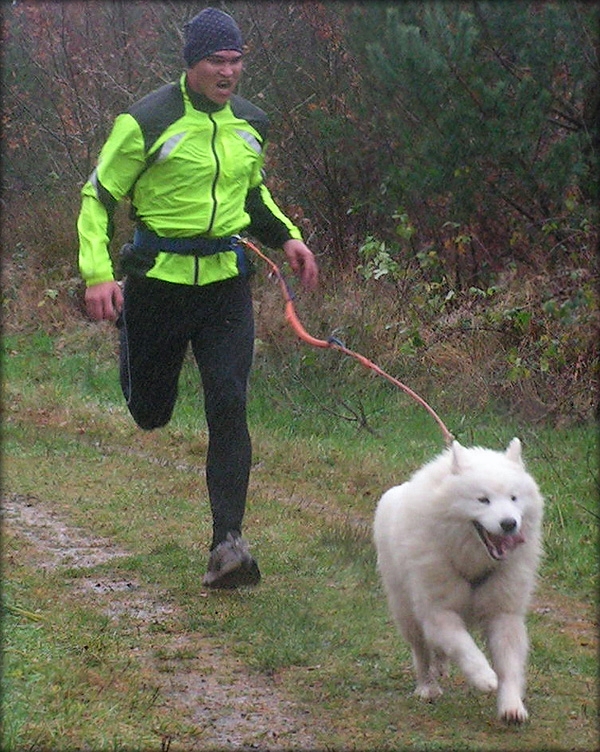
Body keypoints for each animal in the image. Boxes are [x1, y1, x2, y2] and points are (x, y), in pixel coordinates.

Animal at [372, 438, 540, 724]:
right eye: (483, 499)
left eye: (514, 498)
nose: (509, 523)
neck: (474, 561)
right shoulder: (438, 612)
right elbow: (464, 646)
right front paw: (484, 676)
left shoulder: (504, 614)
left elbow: (509, 664)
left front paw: (511, 705)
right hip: (406, 612)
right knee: (422, 652)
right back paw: (427, 687)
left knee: (438, 653)